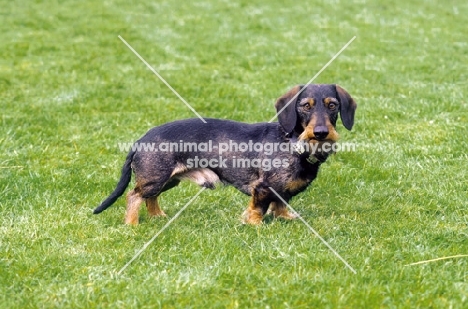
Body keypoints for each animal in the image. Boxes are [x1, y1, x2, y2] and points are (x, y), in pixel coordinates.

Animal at [96, 84, 358, 224]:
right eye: (305, 106)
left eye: (332, 105)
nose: (321, 132)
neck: (292, 142)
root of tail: (141, 140)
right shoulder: (262, 188)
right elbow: (257, 209)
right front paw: (255, 225)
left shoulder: (281, 192)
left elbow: (280, 204)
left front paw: (286, 218)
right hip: (155, 178)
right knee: (134, 196)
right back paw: (132, 225)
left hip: (167, 180)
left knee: (150, 197)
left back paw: (158, 216)